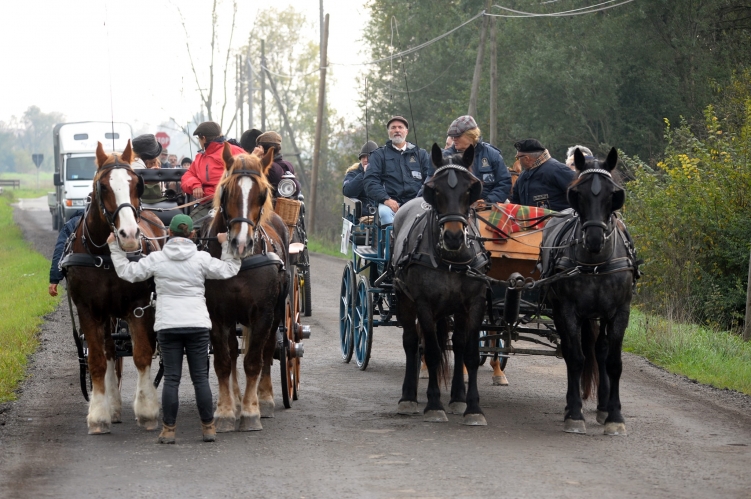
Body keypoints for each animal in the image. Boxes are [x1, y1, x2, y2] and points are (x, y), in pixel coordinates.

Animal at [65, 141, 167, 434]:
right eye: (103, 187)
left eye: (136, 184)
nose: (130, 235)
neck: (107, 257)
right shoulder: (88, 310)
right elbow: (98, 360)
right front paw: (99, 415)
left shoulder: (139, 306)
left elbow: (143, 354)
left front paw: (147, 410)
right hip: (107, 313)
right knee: (110, 350)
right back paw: (112, 404)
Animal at [201, 143, 290, 432]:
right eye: (227, 190)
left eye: (262, 194)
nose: (241, 243)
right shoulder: (217, 316)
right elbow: (223, 362)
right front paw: (226, 411)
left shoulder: (263, 314)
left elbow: (254, 361)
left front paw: (252, 412)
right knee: (232, 353)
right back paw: (237, 400)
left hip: (276, 315)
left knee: (267, 350)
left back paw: (264, 399)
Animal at [390, 144, 490, 426]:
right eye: (434, 190)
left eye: (470, 188)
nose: (454, 237)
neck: (451, 260)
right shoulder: (424, 304)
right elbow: (432, 352)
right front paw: (434, 405)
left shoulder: (475, 304)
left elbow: (469, 353)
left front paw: (473, 407)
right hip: (404, 298)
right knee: (412, 342)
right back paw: (408, 397)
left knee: (457, 344)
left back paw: (457, 398)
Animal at [540, 149, 640, 438]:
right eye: (578, 193)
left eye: (613, 194)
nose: (594, 239)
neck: (596, 262)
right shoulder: (568, 311)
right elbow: (575, 358)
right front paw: (574, 414)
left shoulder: (620, 312)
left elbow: (614, 362)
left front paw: (615, 416)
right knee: (576, 352)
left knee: (601, 351)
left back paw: (604, 407)